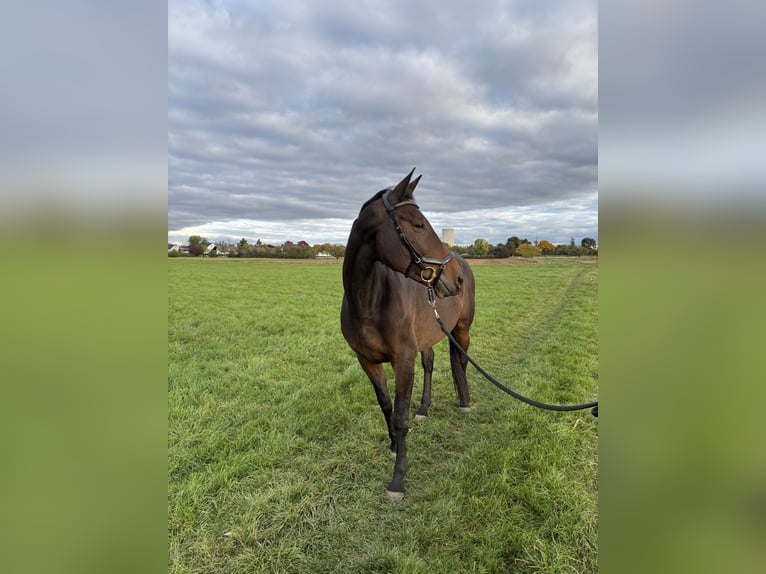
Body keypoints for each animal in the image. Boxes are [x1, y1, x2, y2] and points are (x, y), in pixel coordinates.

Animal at [340, 169, 476, 500]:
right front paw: (392, 446)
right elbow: (387, 406)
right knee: (430, 363)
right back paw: (425, 408)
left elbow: (401, 417)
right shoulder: (367, 361)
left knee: (462, 362)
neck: (368, 301)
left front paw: (398, 478)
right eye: (418, 224)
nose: (456, 278)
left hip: (462, 330)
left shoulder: (403, 361)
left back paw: (465, 401)